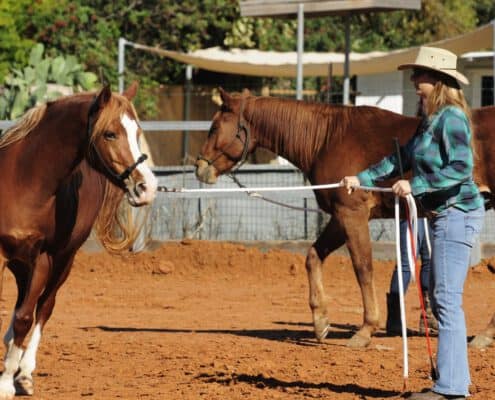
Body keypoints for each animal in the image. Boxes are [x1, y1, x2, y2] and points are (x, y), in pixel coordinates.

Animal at [0, 83, 157, 398]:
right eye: (110, 133)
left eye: (137, 132)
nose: (147, 187)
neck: (22, 180)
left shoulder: (43, 258)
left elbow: (27, 317)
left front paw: (6, 382)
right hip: (21, 263)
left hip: (62, 260)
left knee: (42, 308)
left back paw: (24, 372)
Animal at [196, 88, 495, 350]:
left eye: (214, 127)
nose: (199, 167)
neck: (326, 138)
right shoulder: (340, 218)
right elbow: (313, 256)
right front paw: (321, 322)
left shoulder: (352, 214)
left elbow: (363, 268)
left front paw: (365, 330)